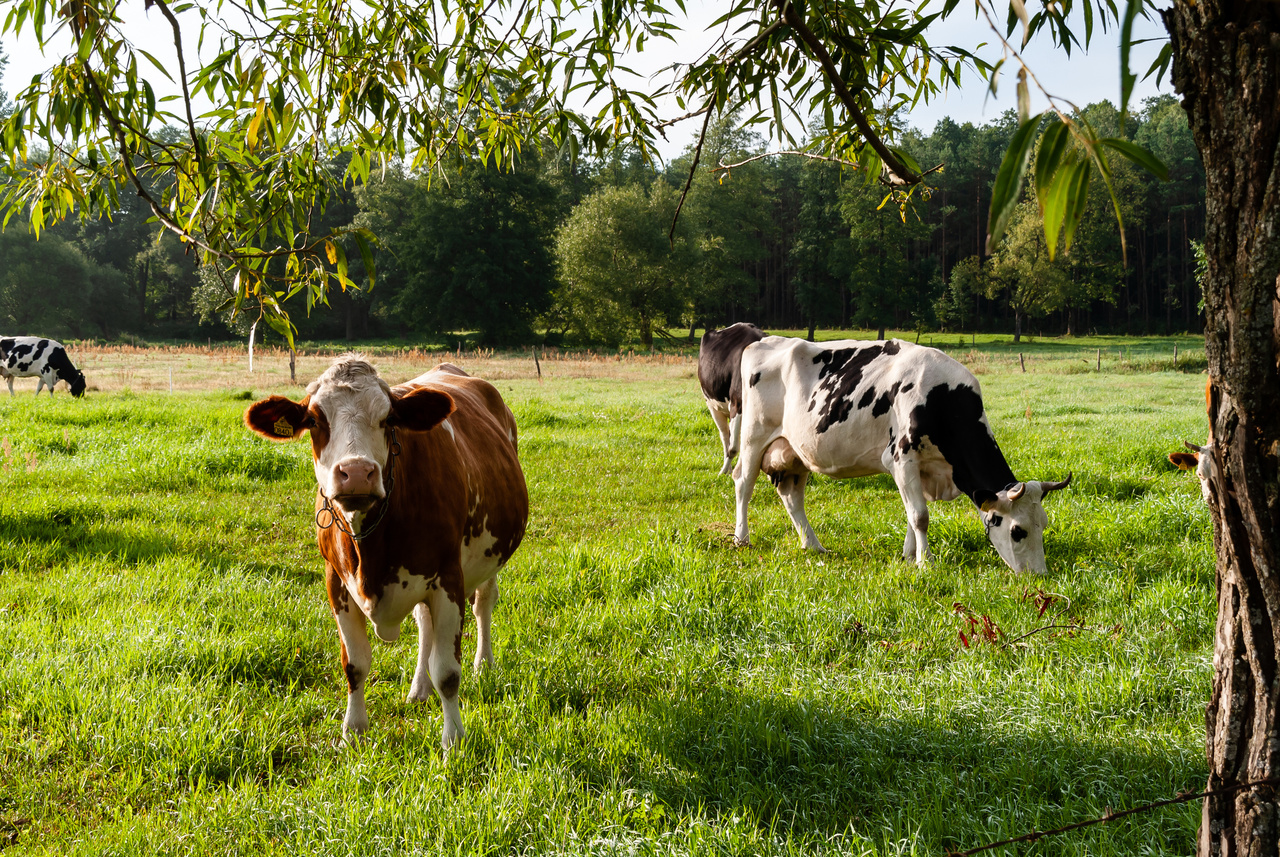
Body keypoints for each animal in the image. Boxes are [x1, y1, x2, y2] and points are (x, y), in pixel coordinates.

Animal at [244, 356, 528, 748]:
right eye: (315, 420)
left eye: (388, 418)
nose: (356, 472)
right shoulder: (336, 582)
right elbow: (355, 663)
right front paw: (354, 730)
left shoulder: (448, 579)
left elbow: (448, 672)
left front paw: (453, 739)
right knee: (424, 624)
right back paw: (419, 688)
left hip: (490, 555)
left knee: (483, 604)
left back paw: (483, 664)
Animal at [697, 323, 766, 475]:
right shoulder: (737, 404)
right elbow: (733, 447)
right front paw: (723, 472)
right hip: (713, 406)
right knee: (725, 437)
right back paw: (726, 469)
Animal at [732, 337, 1071, 573]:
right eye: (1017, 530)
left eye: (1043, 525)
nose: (1039, 574)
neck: (941, 399)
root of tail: (763, 341)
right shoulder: (901, 457)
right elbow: (920, 515)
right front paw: (926, 562)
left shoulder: (923, 468)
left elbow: (911, 514)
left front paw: (910, 555)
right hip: (753, 438)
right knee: (743, 484)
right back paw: (742, 538)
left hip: (795, 453)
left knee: (792, 497)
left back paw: (813, 546)